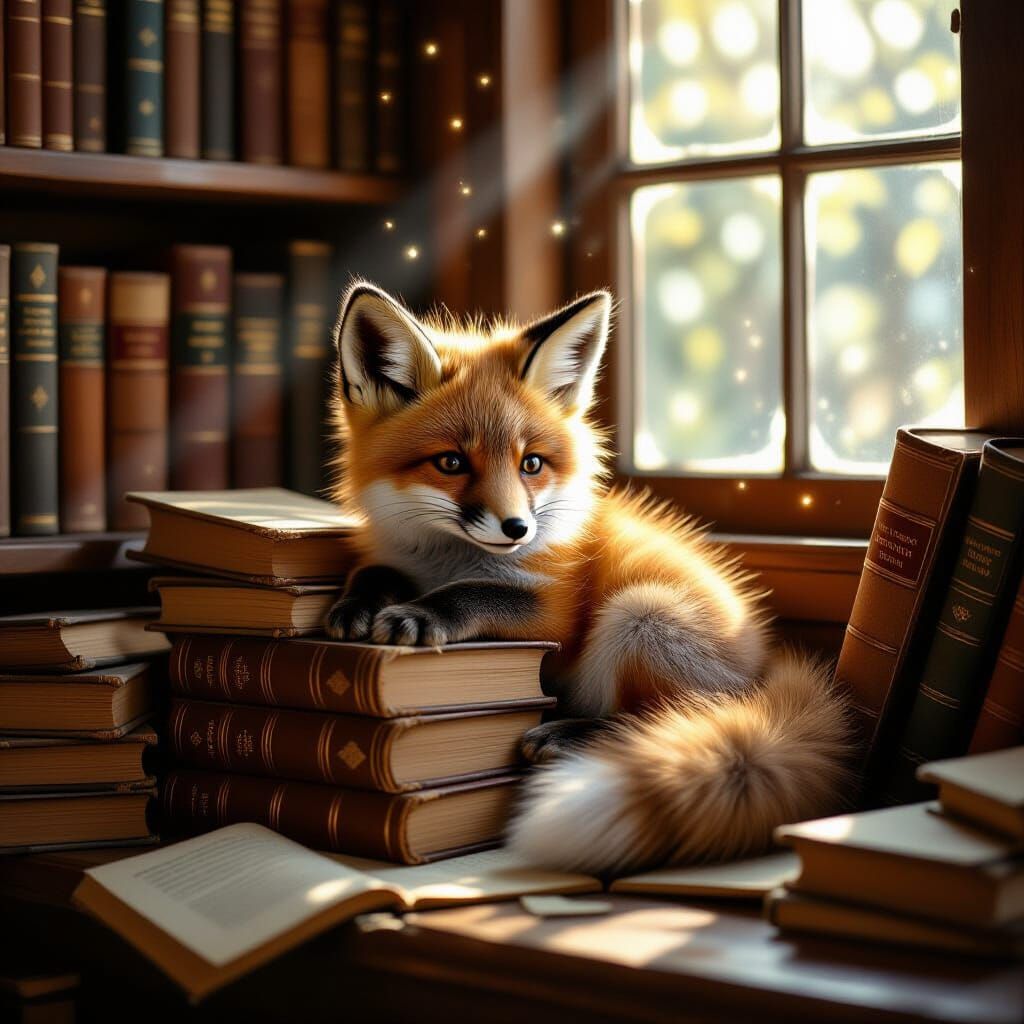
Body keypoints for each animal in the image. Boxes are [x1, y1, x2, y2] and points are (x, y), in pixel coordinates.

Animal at [325, 281, 852, 875]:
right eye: (451, 463)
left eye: (531, 464)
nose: (517, 528)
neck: (446, 559)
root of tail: (766, 665)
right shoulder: (400, 557)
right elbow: (374, 569)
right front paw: (357, 604)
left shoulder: (551, 611)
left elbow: (473, 594)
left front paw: (421, 613)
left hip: (640, 614)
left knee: (676, 716)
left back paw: (574, 734)